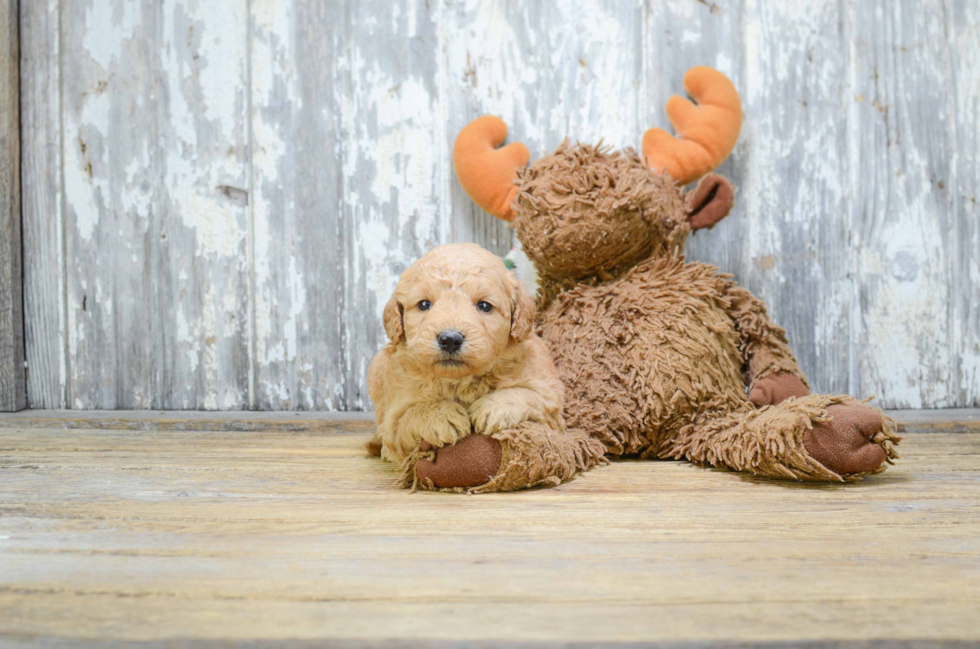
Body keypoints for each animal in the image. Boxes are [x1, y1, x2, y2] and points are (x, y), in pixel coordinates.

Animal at [366, 242, 576, 486]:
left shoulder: (550, 400)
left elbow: (527, 394)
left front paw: (495, 407)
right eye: (424, 304)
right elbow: (410, 416)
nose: (450, 339)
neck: (462, 381)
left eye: (484, 306)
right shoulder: (392, 420)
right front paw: (441, 416)